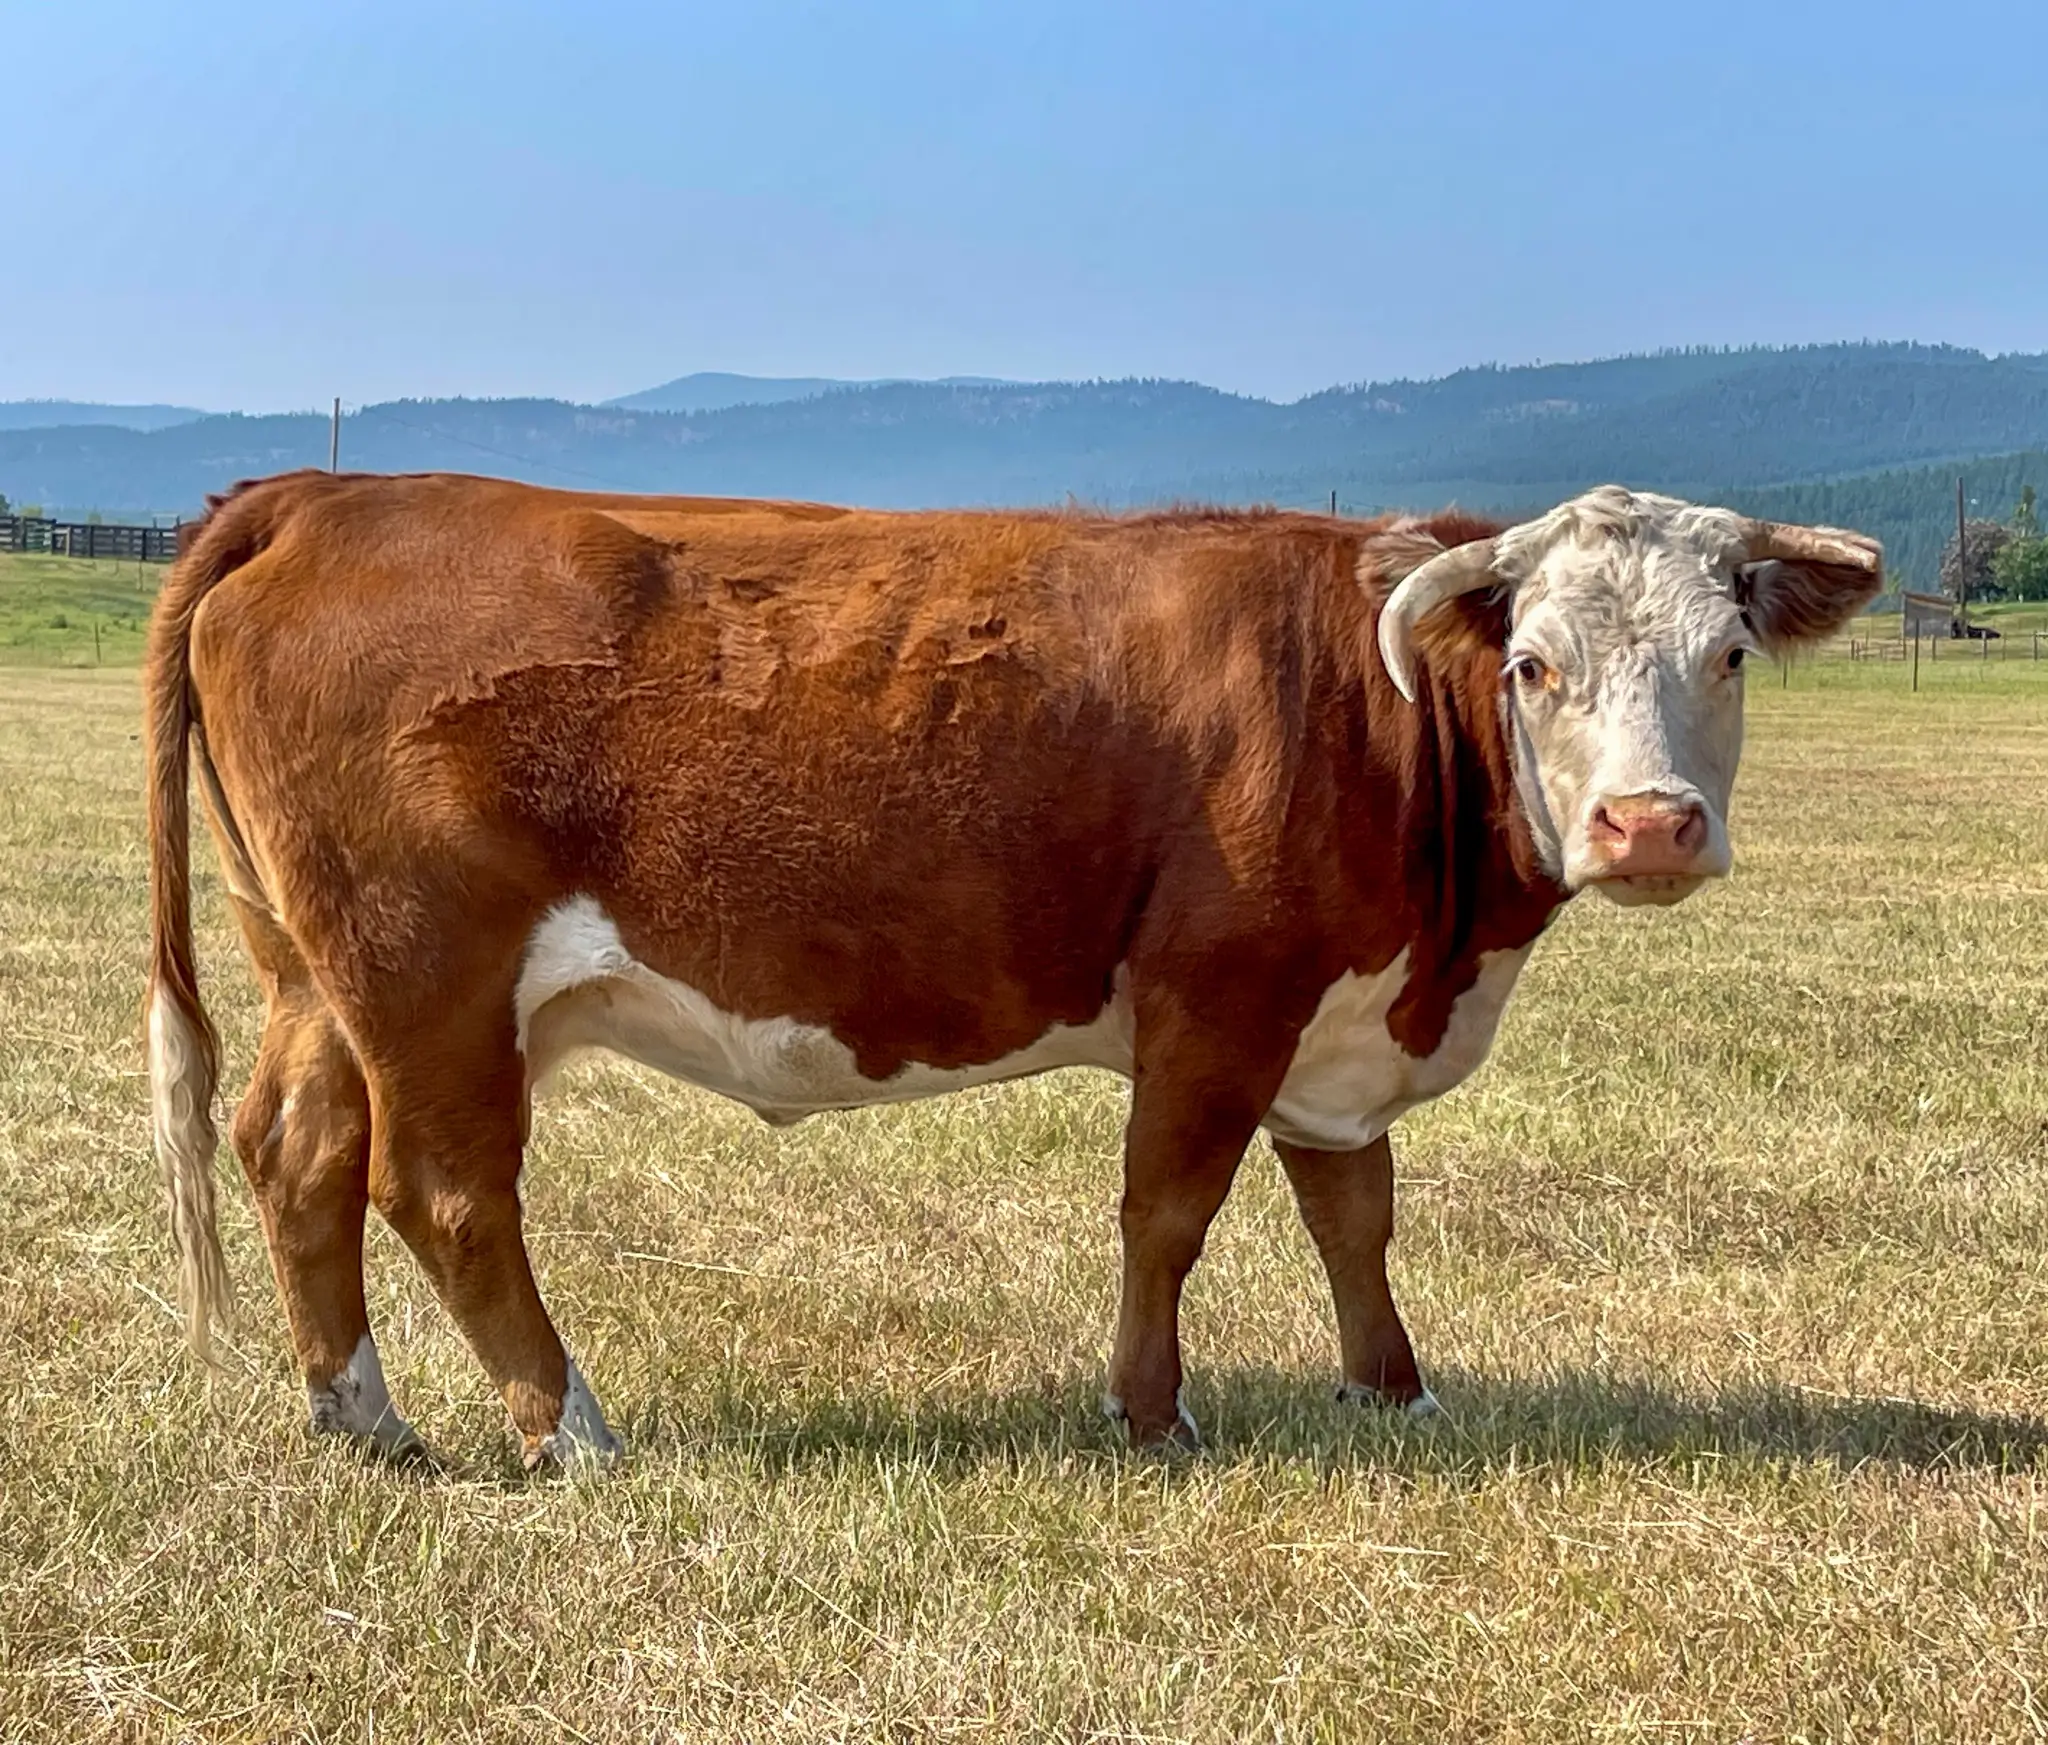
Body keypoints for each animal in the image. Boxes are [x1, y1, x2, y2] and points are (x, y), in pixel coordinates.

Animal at [143, 472, 1881, 1465]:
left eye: (1729, 652)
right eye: (1533, 663)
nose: (1650, 824)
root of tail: (332, 486)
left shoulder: (1335, 1026)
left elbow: (1353, 1213)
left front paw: (1394, 1390)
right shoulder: (1220, 996)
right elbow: (1169, 1213)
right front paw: (1152, 1413)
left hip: (316, 970)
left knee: (295, 1148)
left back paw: (363, 1421)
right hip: (430, 972)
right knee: (442, 1191)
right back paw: (564, 1430)